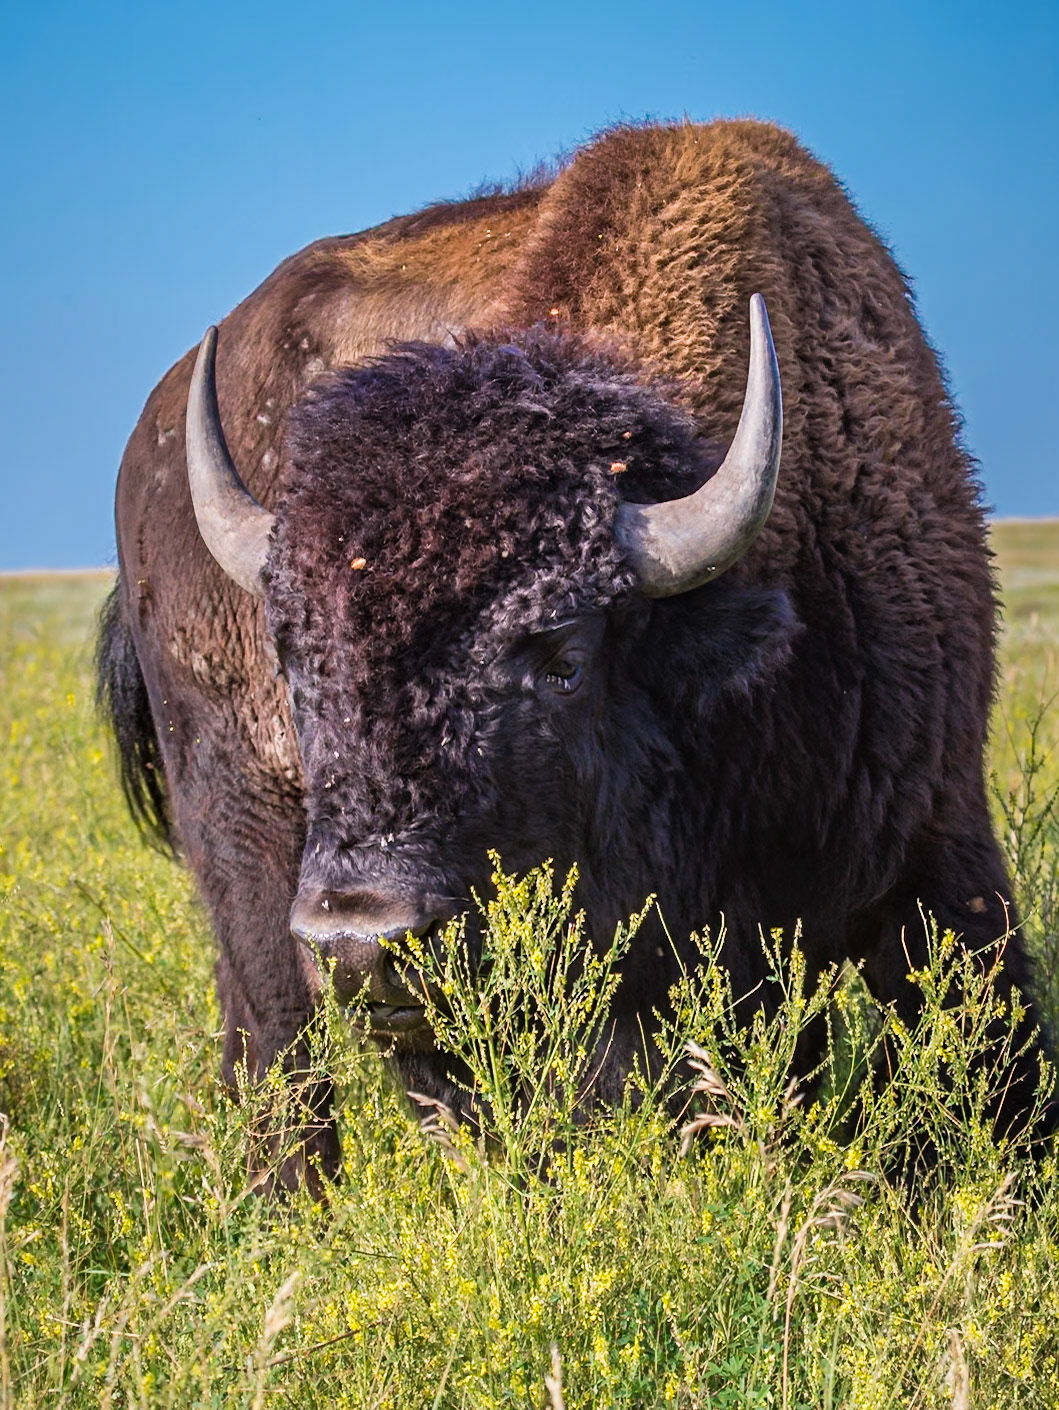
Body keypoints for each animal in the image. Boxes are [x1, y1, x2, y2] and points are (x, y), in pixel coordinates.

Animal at [99, 120, 1053, 1187]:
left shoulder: (935, 834)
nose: (359, 937)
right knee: (279, 1039)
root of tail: (153, 433)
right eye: (296, 661)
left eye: (560, 656)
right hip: (246, 832)